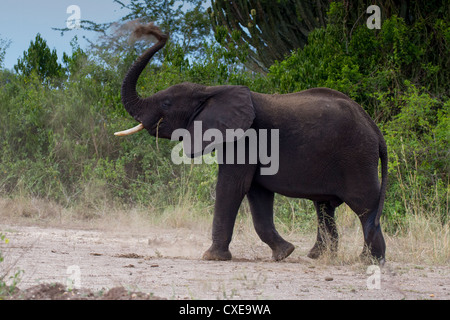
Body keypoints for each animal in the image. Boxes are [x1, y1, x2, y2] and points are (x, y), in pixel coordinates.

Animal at [115, 23, 386, 264]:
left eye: (167, 103)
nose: (158, 33)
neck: (210, 90)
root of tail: (374, 127)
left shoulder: (246, 138)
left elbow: (232, 186)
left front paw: (211, 257)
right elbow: (257, 193)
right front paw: (284, 253)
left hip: (356, 157)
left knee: (364, 205)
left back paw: (370, 260)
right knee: (325, 207)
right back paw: (318, 256)